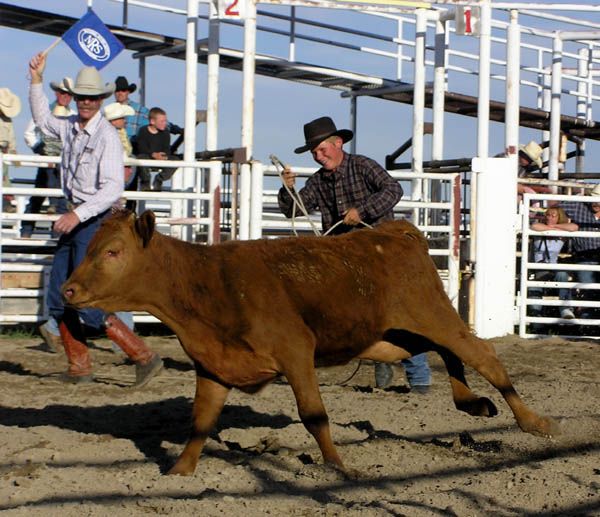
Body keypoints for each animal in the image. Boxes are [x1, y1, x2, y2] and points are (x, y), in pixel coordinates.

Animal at [62, 211, 556, 476]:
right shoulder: (215, 364)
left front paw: (339, 466)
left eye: (113, 251)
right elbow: (200, 422)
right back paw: (474, 404)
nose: (68, 290)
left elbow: (314, 415)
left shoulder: (295, 351)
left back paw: (534, 421)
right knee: (449, 355)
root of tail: (395, 231)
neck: (210, 281)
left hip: (432, 315)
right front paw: (180, 471)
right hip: (395, 336)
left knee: (481, 355)